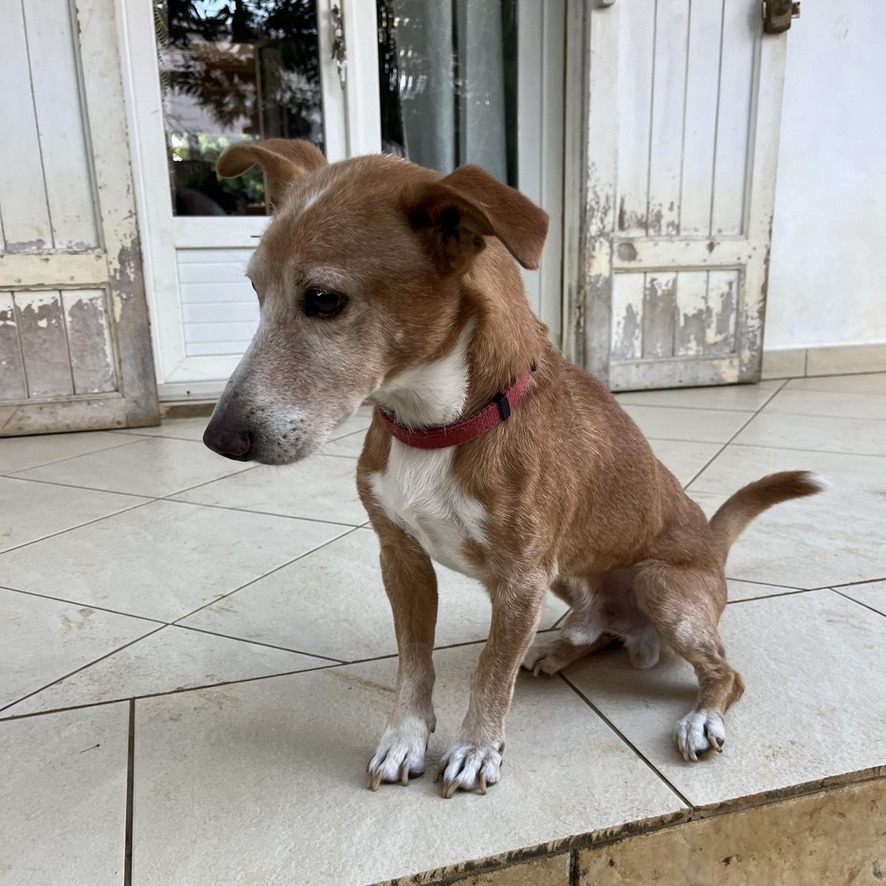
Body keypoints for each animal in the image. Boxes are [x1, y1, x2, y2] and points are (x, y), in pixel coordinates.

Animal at [203, 137, 824, 796]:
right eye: (255, 291)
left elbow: (488, 669)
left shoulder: (521, 578)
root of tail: (711, 541)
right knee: (598, 626)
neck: (436, 426)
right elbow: (413, 661)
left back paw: (700, 716)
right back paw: (558, 648)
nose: (219, 439)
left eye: (323, 299)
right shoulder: (401, 557)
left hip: (660, 586)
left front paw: (477, 748)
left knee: (725, 672)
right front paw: (404, 738)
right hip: (569, 573)